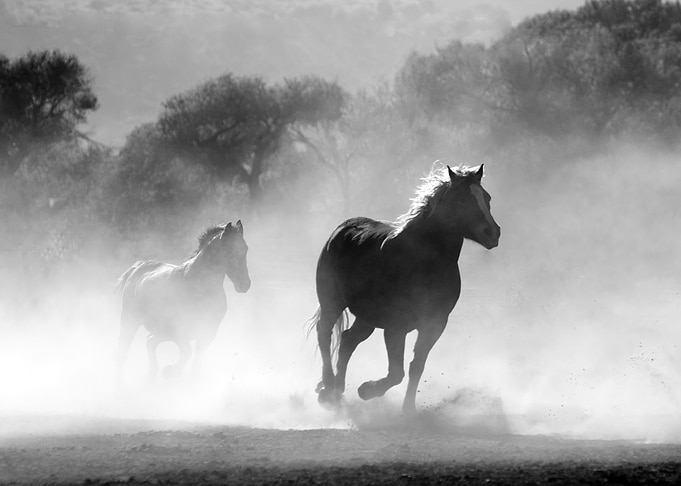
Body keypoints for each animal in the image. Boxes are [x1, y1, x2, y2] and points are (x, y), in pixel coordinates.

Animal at [114, 221, 250, 384]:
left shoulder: (208, 332)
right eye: (229, 251)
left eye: (245, 248)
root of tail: (138, 267)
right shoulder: (179, 330)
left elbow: (196, 363)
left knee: (150, 341)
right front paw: (170, 372)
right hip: (130, 320)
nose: (244, 284)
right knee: (123, 351)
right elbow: (187, 352)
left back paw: (152, 374)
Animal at [310, 164, 500, 414]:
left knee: (348, 340)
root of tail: (342, 229)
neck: (423, 261)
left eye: (487, 198)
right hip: (332, 302)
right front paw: (367, 390)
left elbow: (416, 366)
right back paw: (328, 389)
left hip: (367, 317)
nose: (493, 233)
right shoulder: (395, 327)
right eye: (461, 199)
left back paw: (338, 389)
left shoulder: (434, 324)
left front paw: (408, 409)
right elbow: (396, 372)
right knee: (324, 333)